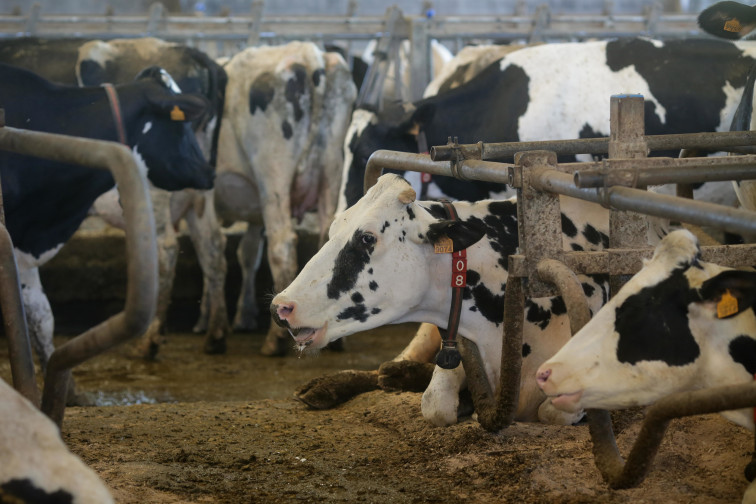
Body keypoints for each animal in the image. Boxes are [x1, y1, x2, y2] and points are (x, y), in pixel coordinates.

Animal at [188, 41, 356, 356]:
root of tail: (308, 53)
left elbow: (211, 253)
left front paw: (214, 329)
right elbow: (247, 254)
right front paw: (240, 316)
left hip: (273, 177)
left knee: (282, 246)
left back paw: (275, 339)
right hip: (330, 170)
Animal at [272, 173, 628, 426]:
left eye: (367, 238)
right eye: (334, 229)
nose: (281, 306)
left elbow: (553, 412)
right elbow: (435, 403)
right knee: (388, 366)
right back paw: (331, 385)